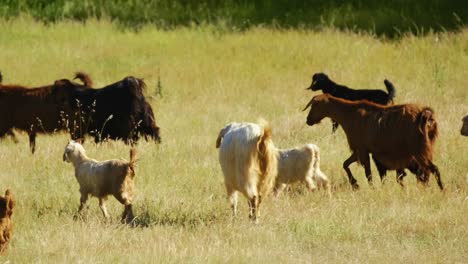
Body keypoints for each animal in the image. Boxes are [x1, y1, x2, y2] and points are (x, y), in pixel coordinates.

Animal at [304, 94, 442, 191]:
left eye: (314, 105)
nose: (308, 120)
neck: (349, 114)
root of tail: (425, 115)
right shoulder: (359, 151)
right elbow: (345, 164)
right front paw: (355, 184)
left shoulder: (363, 150)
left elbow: (368, 173)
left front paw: (369, 187)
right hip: (427, 149)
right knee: (426, 171)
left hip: (419, 150)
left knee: (432, 169)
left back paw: (442, 190)